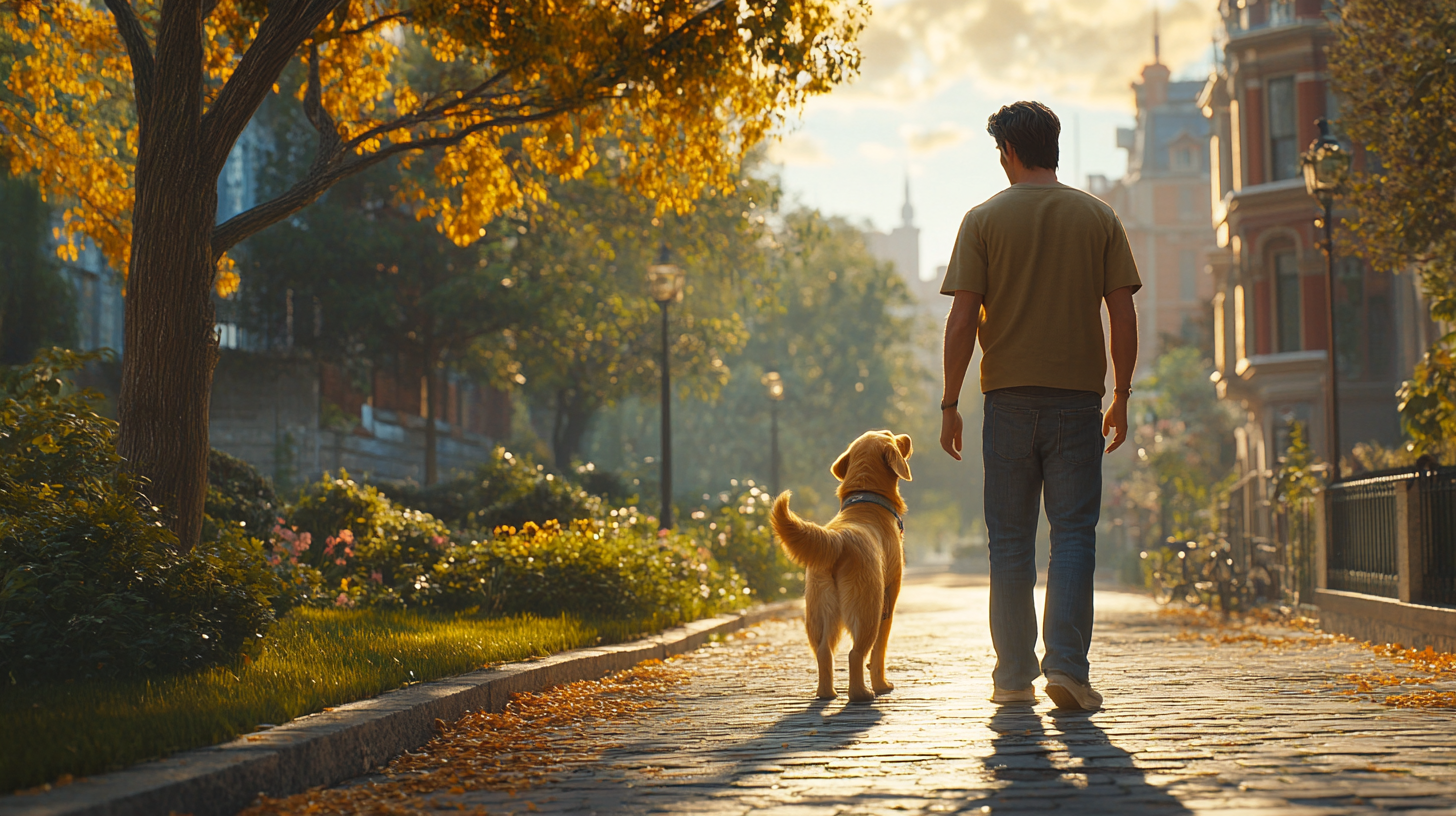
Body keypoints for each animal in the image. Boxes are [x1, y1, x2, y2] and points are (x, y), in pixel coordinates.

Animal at [774, 431, 908, 705]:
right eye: (891, 436)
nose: (906, 437)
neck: (867, 498)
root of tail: (838, 539)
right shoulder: (889, 599)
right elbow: (878, 653)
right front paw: (882, 685)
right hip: (868, 609)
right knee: (856, 654)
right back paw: (863, 694)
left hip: (819, 611)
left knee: (824, 653)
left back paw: (826, 693)